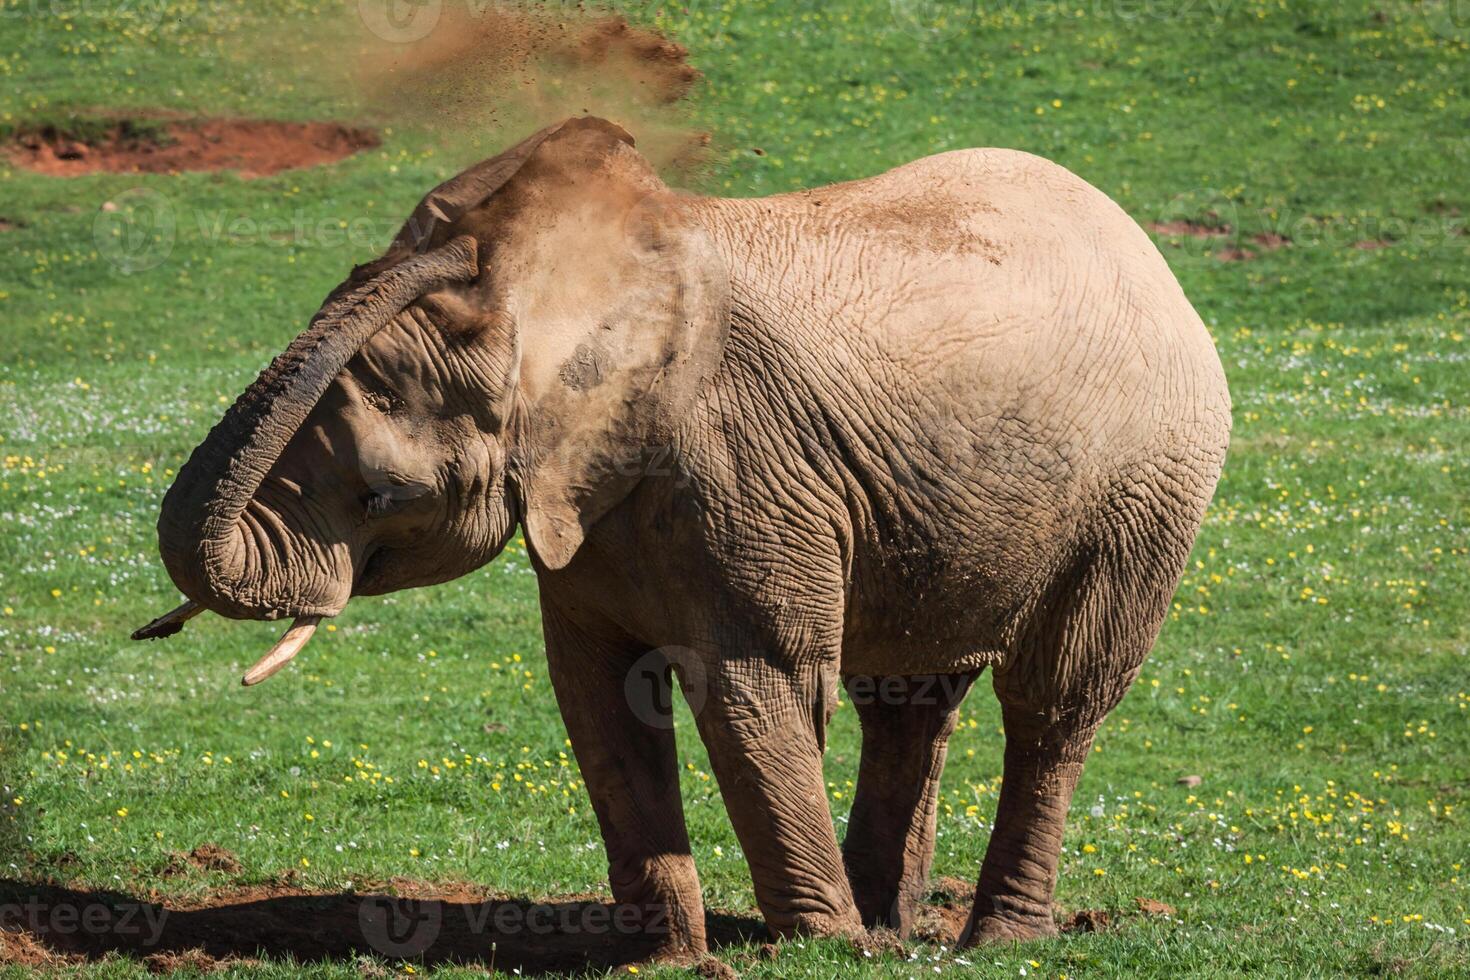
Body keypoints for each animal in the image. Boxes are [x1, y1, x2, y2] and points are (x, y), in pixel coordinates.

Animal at [138, 116, 1234, 957]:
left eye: (377, 496)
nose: (438, 244)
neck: (570, 298)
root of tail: (1144, 248)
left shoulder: (746, 472)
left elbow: (756, 684)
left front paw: (818, 948)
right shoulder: (594, 503)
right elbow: (595, 697)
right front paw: (667, 955)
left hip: (1147, 491)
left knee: (1056, 699)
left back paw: (989, 936)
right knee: (910, 699)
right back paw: (889, 927)